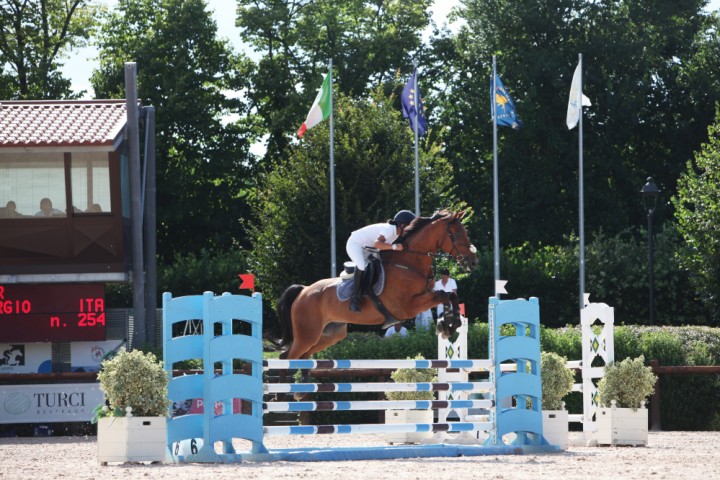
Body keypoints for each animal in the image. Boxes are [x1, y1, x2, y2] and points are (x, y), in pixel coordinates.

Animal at [276, 208, 478, 362]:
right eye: (458, 234)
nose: (473, 262)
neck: (409, 262)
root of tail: (303, 291)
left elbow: (450, 296)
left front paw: (451, 323)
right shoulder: (407, 307)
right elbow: (443, 295)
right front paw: (447, 325)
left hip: (329, 334)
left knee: (301, 356)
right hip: (307, 334)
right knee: (288, 357)